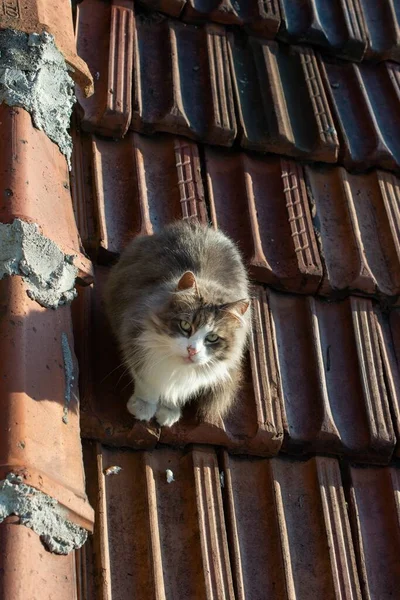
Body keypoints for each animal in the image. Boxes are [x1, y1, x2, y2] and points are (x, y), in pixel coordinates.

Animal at [104, 220, 252, 426]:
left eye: (212, 338)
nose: (192, 350)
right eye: (185, 326)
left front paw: (169, 410)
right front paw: (144, 406)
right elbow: (147, 383)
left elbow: (178, 393)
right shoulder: (134, 339)